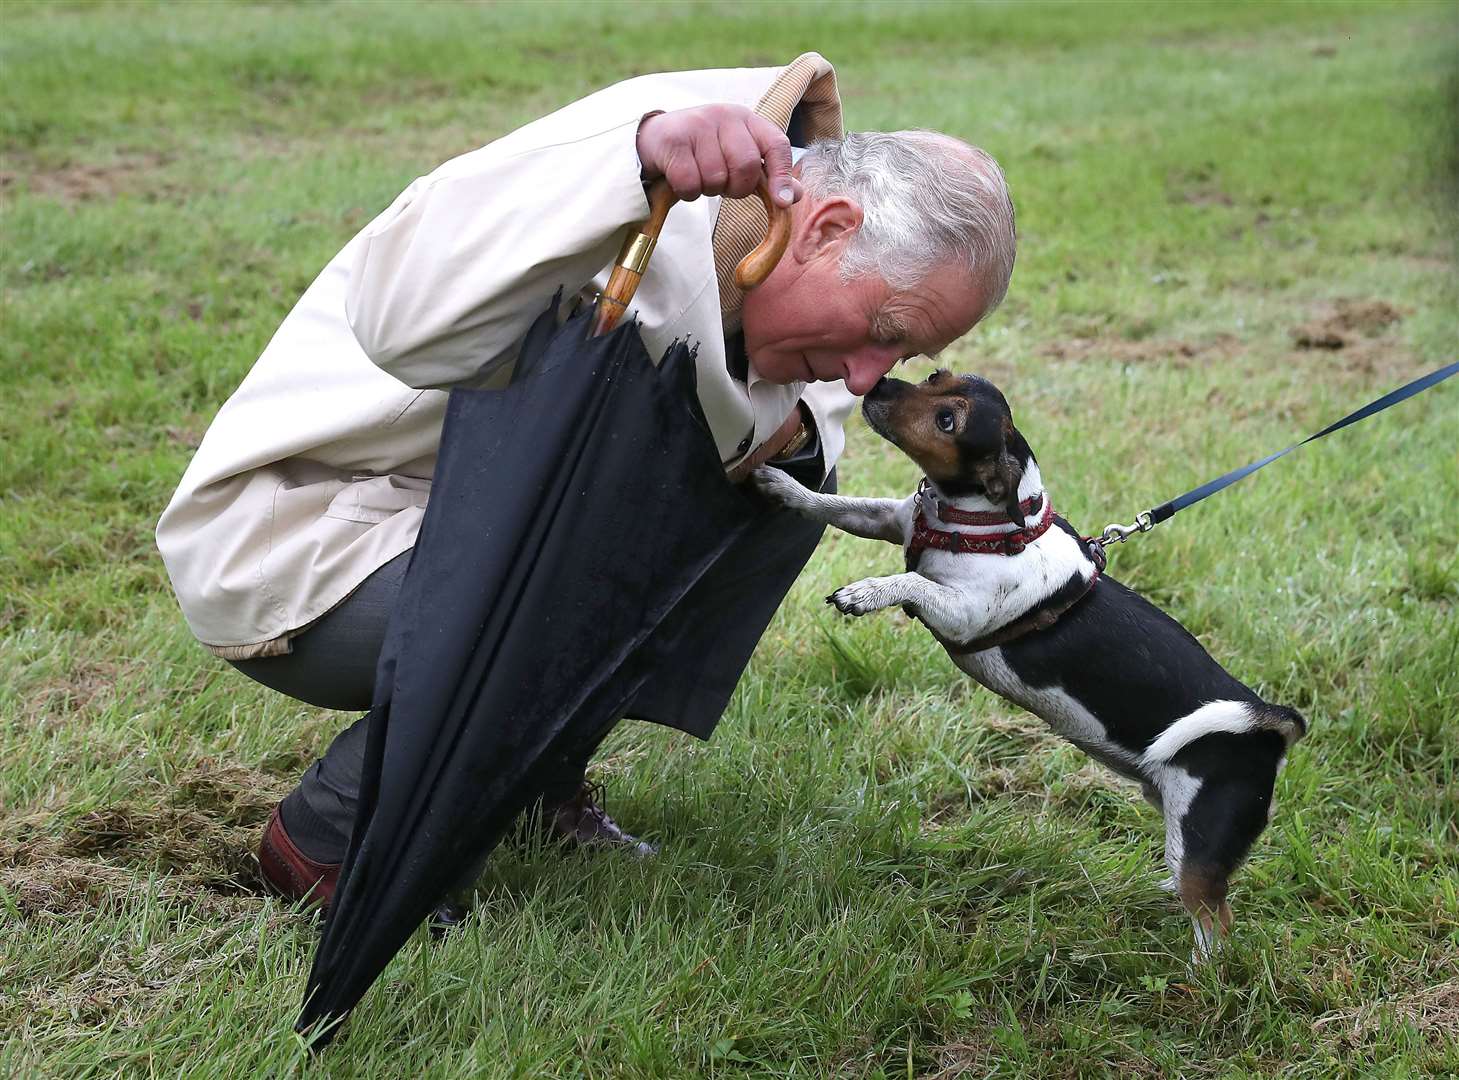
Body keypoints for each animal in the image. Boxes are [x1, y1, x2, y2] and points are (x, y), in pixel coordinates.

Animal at [758, 369, 1307, 951]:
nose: (879, 384)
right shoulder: (886, 518)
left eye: (947, 420)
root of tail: (1271, 725)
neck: (979, 523)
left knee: (1216, 921)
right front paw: (782, 485)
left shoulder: (962, 612)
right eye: (935, 377)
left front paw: (866, 592)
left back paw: (1200, 970)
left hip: (1201, 843)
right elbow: (834, 507)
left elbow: (911, 581)